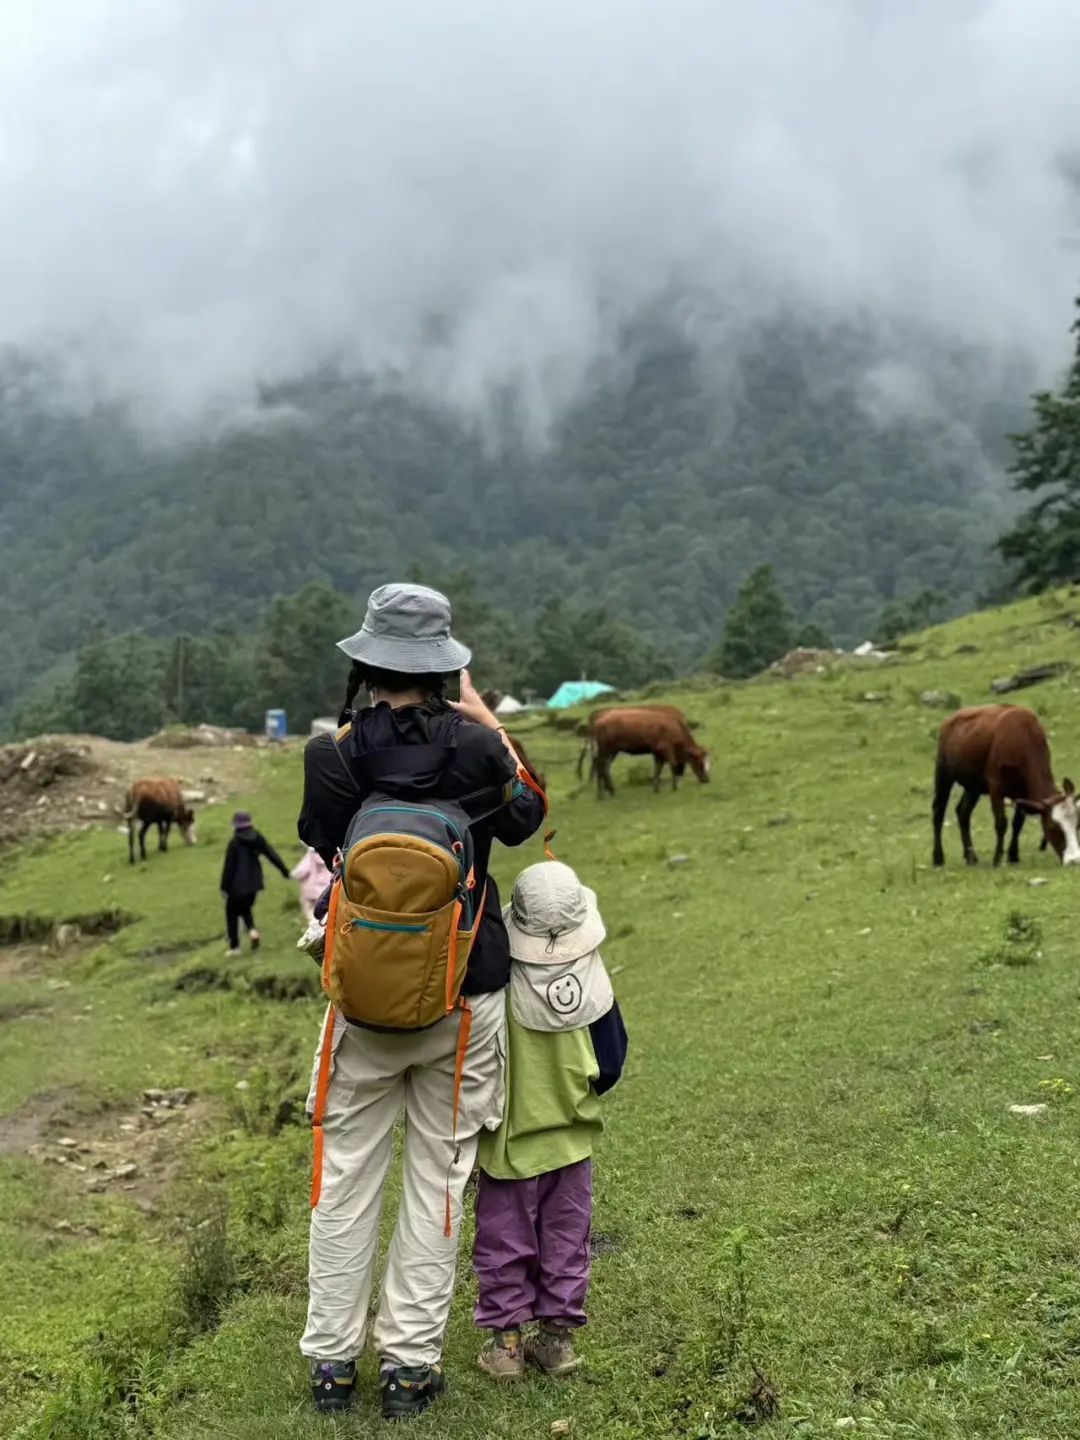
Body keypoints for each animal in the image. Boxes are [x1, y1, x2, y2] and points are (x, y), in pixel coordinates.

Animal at [933, 699, 1080, 858]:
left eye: (1077, 824)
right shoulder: (995, 785)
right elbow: (1001, 823)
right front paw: (998, 858)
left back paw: (970, 857)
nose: (1074, 857)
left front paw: (1013, 855)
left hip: (973, 786)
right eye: (1052, 827)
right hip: (943, 774)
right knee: (938, 811)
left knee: (963, 813)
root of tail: (950, 719)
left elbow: (1018, 823)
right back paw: (938, 857)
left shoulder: (1022, 791)